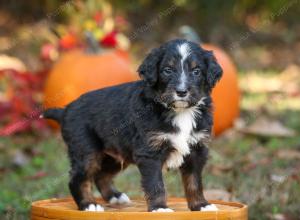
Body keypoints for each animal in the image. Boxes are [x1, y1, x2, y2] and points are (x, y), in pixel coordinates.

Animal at [44, 38, 223, 212]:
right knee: (78, 179)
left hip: (114, 154)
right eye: (167, 70)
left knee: (101, 175)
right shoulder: (150, 153)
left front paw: (201, 205)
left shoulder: (197, 149)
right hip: (86, 150)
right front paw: (160, 208)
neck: (181, 111)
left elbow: (194, 182)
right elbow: (156, 185)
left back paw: (115, 197)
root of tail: (65, 110)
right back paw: (89, 204)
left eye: (196, 71)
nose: (181, 92)